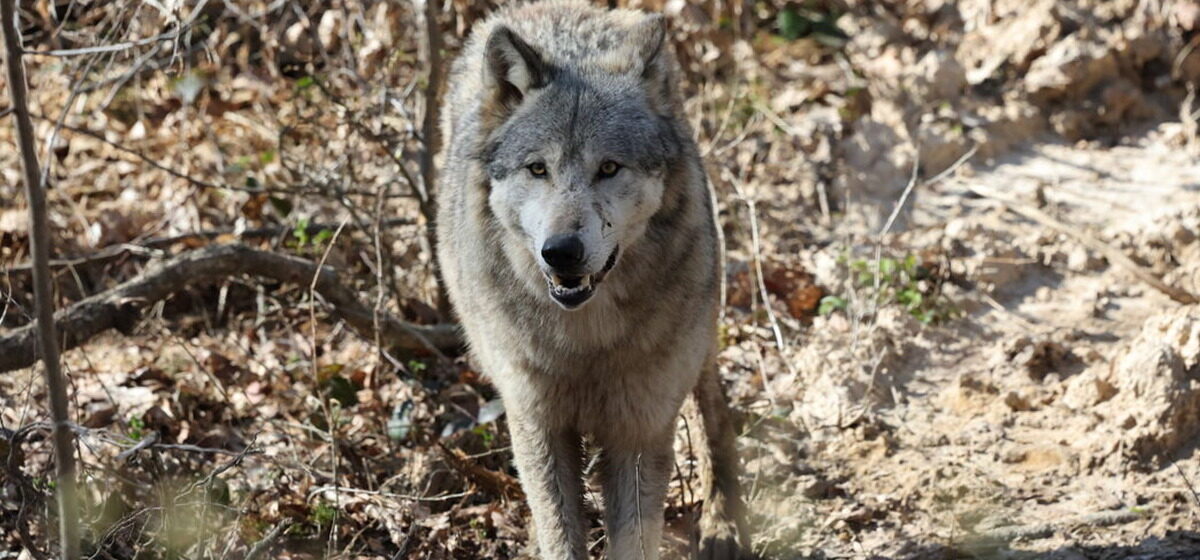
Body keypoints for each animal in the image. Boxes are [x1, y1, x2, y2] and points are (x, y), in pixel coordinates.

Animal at [436, 1, 748, 558]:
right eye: (538, 168)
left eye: (608, 168)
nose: (561, 252)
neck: (587, 343)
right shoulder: (537, 423)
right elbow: (560, 531)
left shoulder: (640, 427)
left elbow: (635, 535)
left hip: (698, 342)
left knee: (712, 408)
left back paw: (723, 523)